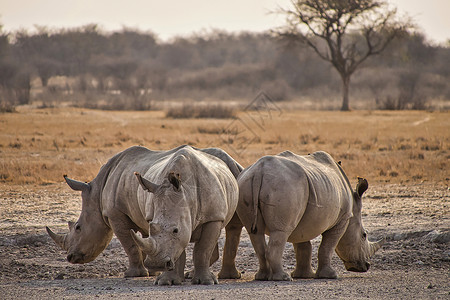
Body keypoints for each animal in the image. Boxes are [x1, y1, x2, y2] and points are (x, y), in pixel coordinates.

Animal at [47, 144, 241, 284]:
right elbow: (156, 242)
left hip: (233, 175)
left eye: (78, 228)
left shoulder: (115, 214)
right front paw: (162, 277)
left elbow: (130, 244)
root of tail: (228, 160)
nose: (70, 257)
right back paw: (189, 274)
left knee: (230, 228)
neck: (97, 192)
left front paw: (135, 274)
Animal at [229, 151, 384, 280]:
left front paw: (303, 275)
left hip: (247, 184)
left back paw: (262, 277)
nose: (366, 266)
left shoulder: (303, 220)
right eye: (364, 235)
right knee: (281, 231)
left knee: (256, 233)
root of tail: (259, 171)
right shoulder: (343, 219)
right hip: (284, 186)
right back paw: (283, 278)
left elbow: (303, 245)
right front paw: (330, 276)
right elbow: (327, 247)